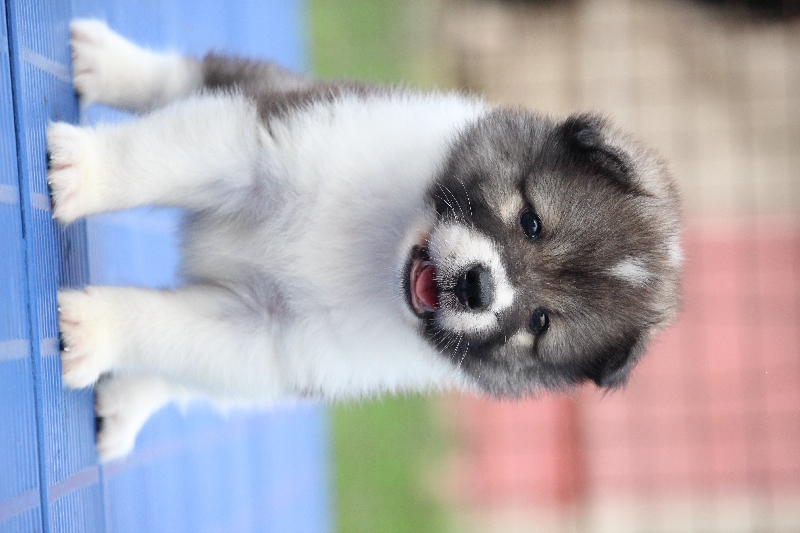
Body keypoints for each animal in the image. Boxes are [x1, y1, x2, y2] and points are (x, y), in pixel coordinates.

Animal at [48, 20, 682, 461]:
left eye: (541, 322)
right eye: (531, 222)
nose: (477, 288)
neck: (378, 252)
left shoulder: (269, 337)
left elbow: (165, 331)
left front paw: (94, 331)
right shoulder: (265, 141)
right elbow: (151, 157)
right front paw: (85, 174)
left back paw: (126, 407)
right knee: (194, 77)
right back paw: (105, 63)